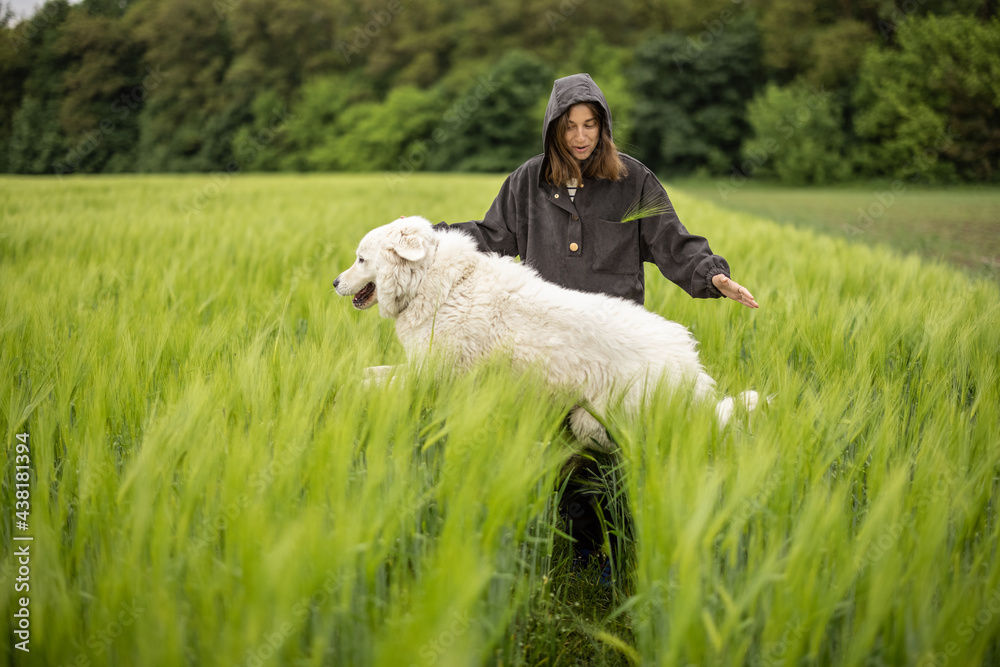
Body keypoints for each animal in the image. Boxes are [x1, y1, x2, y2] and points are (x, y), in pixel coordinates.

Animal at [332, 218, 760, 448]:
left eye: (360, 259)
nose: (334, 282)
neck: (431, 283)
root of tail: (693, 369)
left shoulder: (437, 376)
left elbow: (377, 379)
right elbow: (373, 373)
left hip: (603, 420)